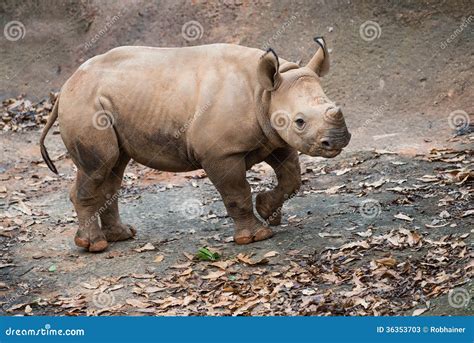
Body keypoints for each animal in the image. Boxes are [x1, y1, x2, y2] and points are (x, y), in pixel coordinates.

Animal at [39, 37, 348, 253]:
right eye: (300, 121)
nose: (338, 140)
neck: (266, 92)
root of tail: (65, 87)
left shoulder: (272, 136)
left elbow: (291, 178)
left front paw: (267, 210)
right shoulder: (221, 153)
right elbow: (237, 193)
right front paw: (255, 237)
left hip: (105, 103)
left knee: (114, 167)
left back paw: (122, 236)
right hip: (85, 104)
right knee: (99, 167)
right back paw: (95, 246)